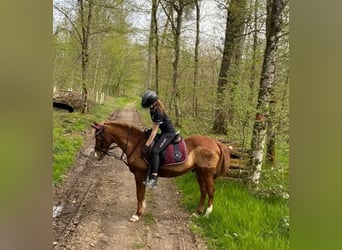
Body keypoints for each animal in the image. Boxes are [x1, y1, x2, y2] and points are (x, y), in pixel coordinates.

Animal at [91, 120, 230, 221]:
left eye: (99, 137)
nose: (97, 155)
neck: (136, 145)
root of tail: (216, 143)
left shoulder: (139, 175)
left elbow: (139, 194)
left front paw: (137, 214)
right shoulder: (142, 176)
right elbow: (142, 193)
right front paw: (142, 209)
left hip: (207, 173)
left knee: (211, 191)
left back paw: (207, 213)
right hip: (199, 172)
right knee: (203, 190)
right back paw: (197, 213)